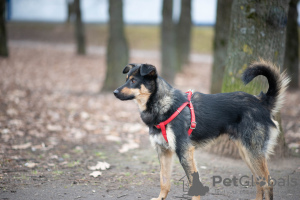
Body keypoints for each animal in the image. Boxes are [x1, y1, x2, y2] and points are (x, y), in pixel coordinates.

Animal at [113, 61, 290, 200]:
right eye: (126, 79)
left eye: (134, 80)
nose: (114, 92)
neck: (163, 104)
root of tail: (261, 102)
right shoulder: (164, 151)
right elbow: (164, 181)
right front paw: (160, 198)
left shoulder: (184, 151)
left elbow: (193, 183)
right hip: (247, 153)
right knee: (259, 181)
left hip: (253, 151)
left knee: (268, 182)